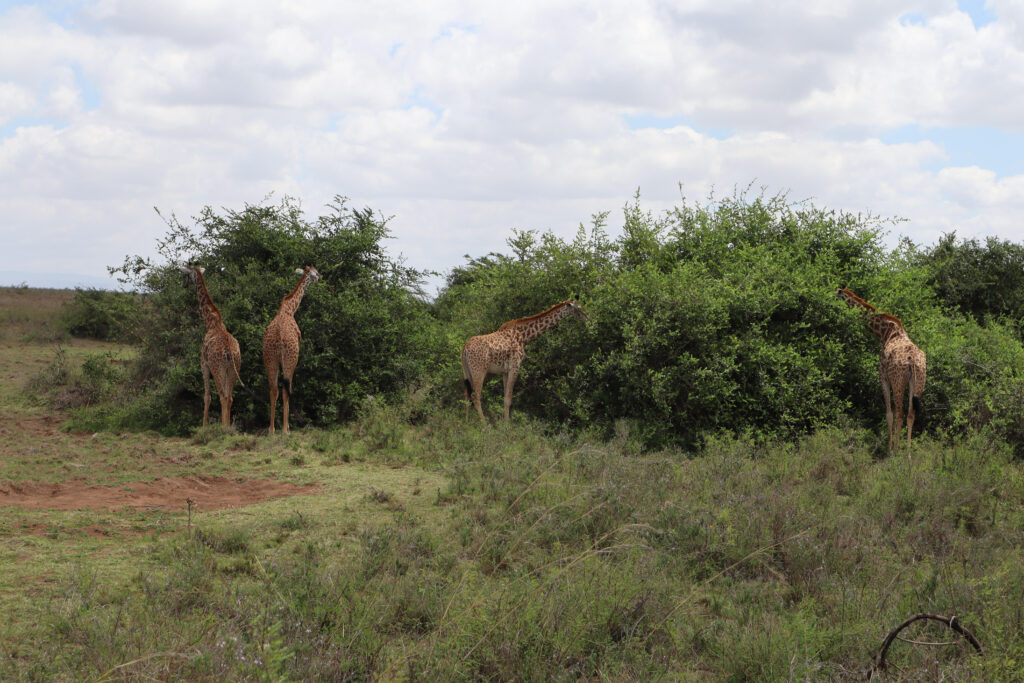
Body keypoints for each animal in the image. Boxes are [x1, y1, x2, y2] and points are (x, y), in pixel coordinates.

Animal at [177, 266, 246, 428]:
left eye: (186, 275)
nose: (184, 285)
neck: (211, 322)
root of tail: (229, 352)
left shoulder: (204, 365)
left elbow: (207, 396)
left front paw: (203, 427)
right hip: (234, 368)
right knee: (229, 397)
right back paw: (228, 427)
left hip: (217, 368)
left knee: (223, 396)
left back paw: (223, 428)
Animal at [260, 264, 319, 436]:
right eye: (316, 272)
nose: (320, 277)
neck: (289, 308)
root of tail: (279, 338)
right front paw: (287, 428)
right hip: (290, 359)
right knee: (286, 389)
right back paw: (285, 430)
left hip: (269, 359)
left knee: (273, 389)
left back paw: (271, 430)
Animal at [831, 286, 929, 454]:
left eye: (834, 295)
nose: (827, 301)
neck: (885, 333)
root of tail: (912, 361)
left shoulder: (883, 376)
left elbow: (889, 413)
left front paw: (889, 447)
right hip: (919, 382)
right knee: (911, 414)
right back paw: (908, 452)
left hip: (898, 381)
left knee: (900, 414)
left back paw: (895, 451)